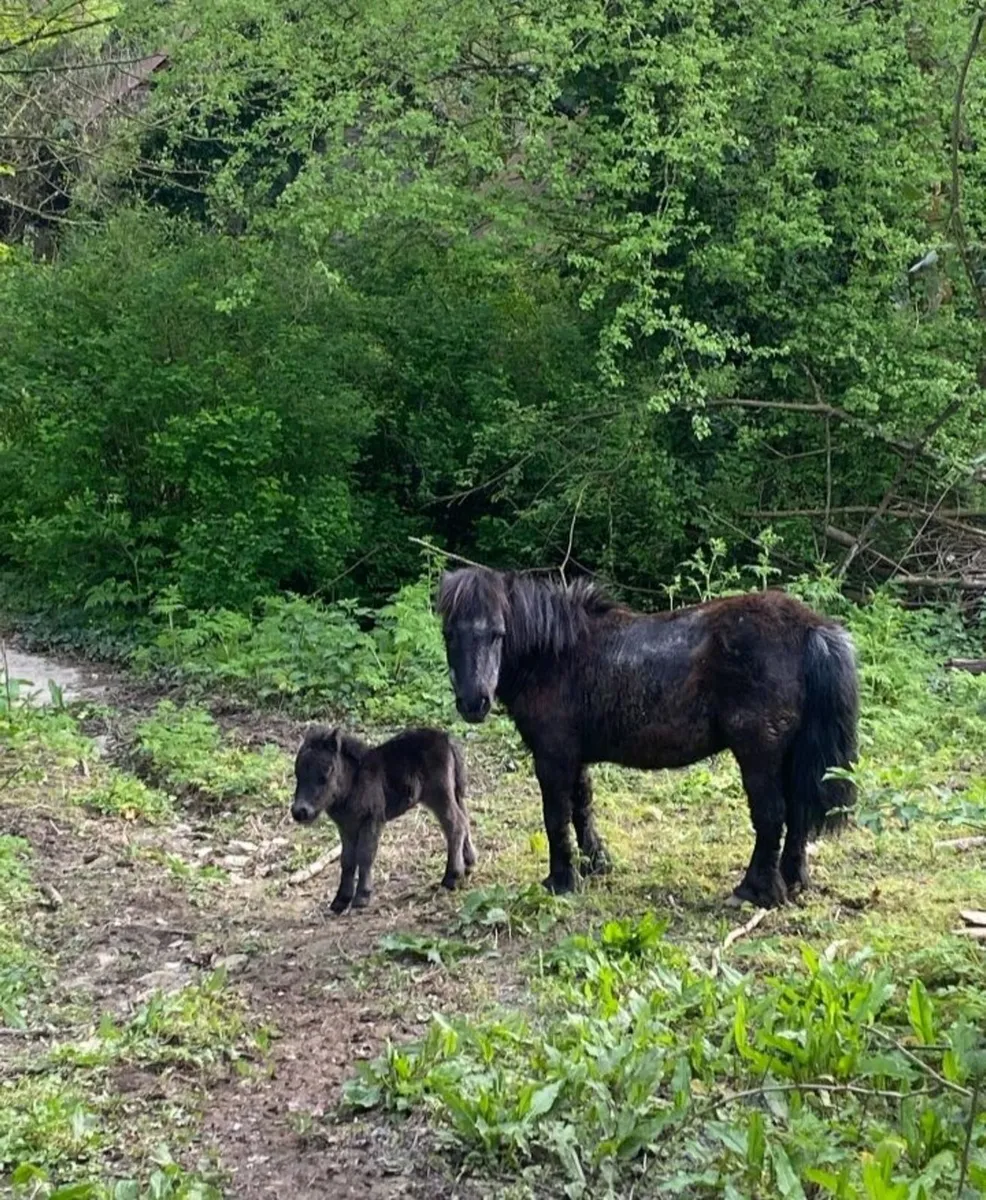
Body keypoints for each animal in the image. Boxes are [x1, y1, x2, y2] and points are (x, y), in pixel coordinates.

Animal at [291, 726, 476, 913]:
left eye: (326, 773)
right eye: (297, 773)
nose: (300, 812)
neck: (353, 782)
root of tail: (447, 738)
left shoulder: (372, 819)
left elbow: (365, 855)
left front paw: (362, 897)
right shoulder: (346, 827)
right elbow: (347, 860)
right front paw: (340, 900)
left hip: (439, 794)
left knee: (455, 825)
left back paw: (451, 878)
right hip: (454, 792)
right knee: (464, 819)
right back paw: (468, 864)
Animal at [437, 567, 858, 908]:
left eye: (498, 634)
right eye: (449, 634)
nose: (474, 702)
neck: (555, 655)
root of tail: (811, 628)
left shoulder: (552, 755)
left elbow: (556, 816)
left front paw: (561, 880)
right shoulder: (574, 754)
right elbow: (582, 806)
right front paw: (595, 864)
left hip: (758, 753)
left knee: (772, 815)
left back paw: (756, 891)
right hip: (793, 754)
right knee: (799, 813)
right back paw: (793, 879)